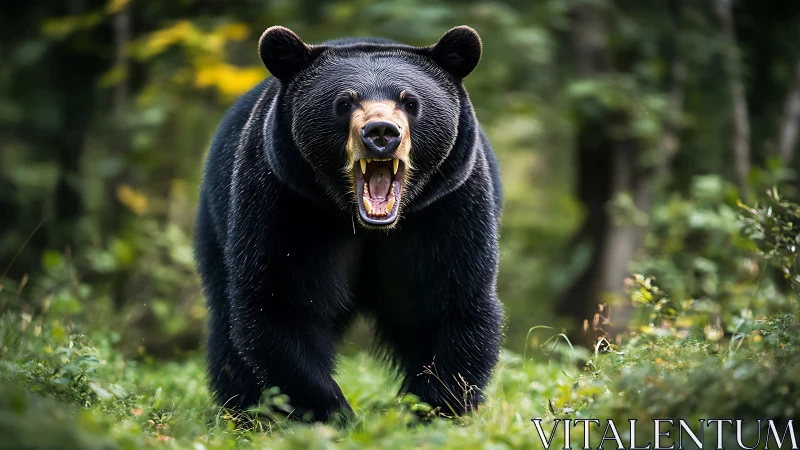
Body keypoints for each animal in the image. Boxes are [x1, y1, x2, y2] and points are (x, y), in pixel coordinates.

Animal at [193, 25, 503, 422]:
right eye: (344, 102)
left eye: (410, 102)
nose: (381, 132)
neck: (368, 225)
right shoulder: (283, 202)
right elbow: (280, 300)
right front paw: (334, 412)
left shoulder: (448, 208)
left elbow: (451, 300)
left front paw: (433, 408)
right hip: (217, 222)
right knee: (225, 325)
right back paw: (243, 410)